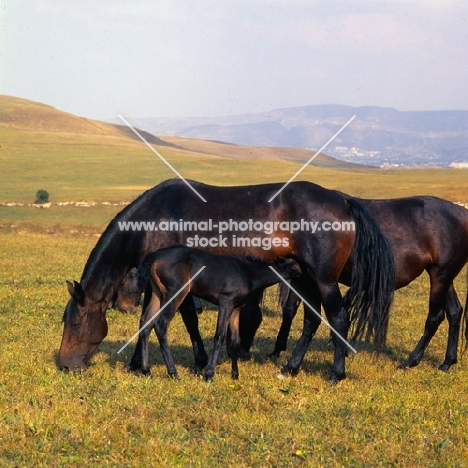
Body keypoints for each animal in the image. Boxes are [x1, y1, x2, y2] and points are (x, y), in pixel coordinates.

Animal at [133, 245, 300, 380]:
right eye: (294, 264)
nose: (302, 272)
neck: (248, 272)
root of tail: (154, 256)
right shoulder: (225, 303)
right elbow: (220, 336)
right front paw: (209, 374)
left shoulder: (236, 308)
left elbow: (234, 341)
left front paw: (235, 374)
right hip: (175, 294)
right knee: (160, 324)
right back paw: (173, 372)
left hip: (157, 294)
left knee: (146, 322)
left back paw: (146, 370)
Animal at [260, 196, 468, 374]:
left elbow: (292, 309)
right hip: (444, 276)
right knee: (454, 312)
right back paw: (447, 362)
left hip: (440, 275)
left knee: (435, 317)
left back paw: (410, 361)